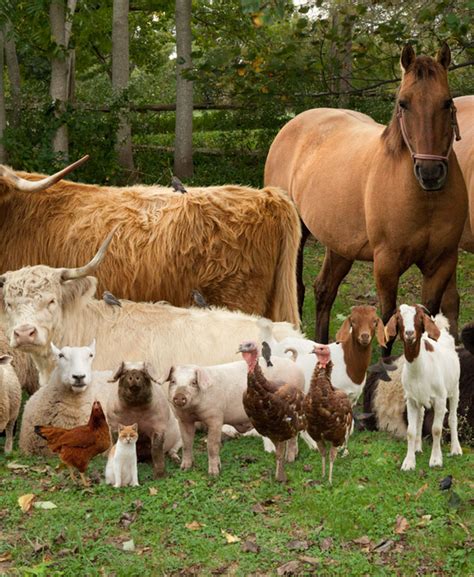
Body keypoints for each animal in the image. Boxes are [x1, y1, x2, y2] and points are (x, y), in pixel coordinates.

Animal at [264, 45, 468, 354]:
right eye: (403, 103)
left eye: (446, 103)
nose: (430, 173)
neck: (426, 200)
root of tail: (293, 124)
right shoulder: (386, 265)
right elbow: (388, 325)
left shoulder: (441, 263)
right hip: (295, 235)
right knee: (297, 290)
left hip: (340, 244)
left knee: (324, 290)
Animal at [386, 304, 462, 470]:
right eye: (399, 318)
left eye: (419, 318)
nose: (409, 333)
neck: (420, 368)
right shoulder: (411, 400)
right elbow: (410, 431)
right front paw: (409, 462)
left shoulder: (439, 400)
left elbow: (436, 429)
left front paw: (436, 460)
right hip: (420, 399)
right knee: (420, 419)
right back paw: (417, 447)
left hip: (454, 389)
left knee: (452, 417)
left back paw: (456, 449)